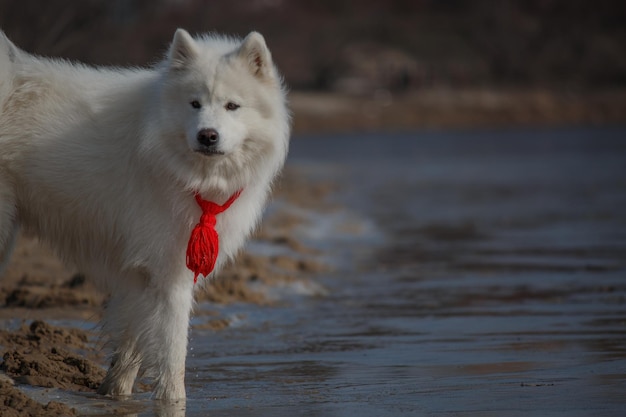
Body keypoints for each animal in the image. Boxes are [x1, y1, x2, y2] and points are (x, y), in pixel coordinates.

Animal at [0, 27, 288, 398]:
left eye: (232, 106)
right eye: (194, 104)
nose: (207, 136)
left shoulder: (142, 275)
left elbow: (130, 348)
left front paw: (115, 393)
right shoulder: (170, 273)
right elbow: (172, 353)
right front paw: (173, 401)